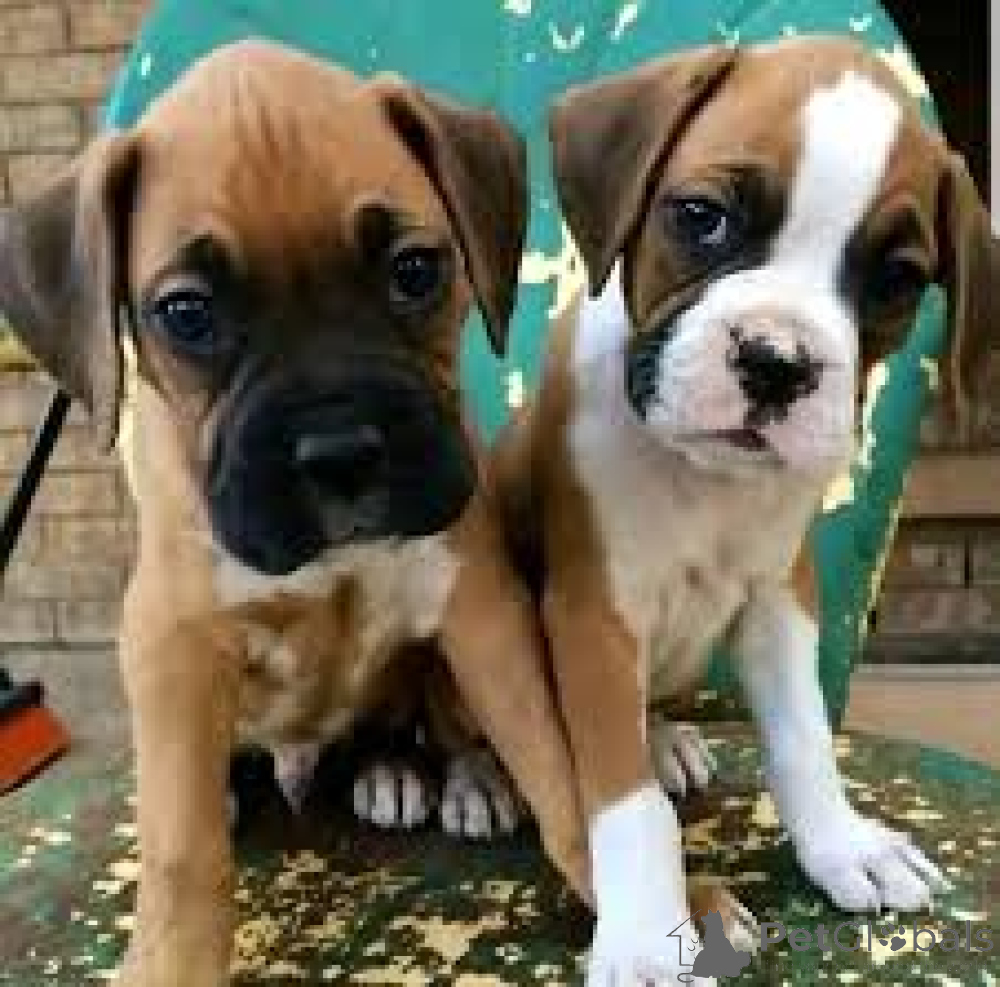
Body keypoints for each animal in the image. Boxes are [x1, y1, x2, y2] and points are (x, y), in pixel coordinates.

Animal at [0, 40, 589, 985]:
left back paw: (431, 773)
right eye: (187, 314)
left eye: (415, 272)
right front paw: (172, 956)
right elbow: (184, 850)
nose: (340, 451)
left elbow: (559, 761)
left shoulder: (480, 607)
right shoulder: (171, 647)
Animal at [489, 36, 997, 985]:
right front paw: (646, 933)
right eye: (702, 217)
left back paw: (667, 736)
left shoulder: (777, 597)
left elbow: (803, 739)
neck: (702, 477)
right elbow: (625, 800)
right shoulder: (593, 615)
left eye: (897, 278)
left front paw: (841, 844)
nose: (777, 360)